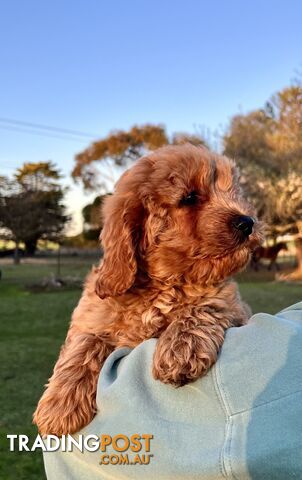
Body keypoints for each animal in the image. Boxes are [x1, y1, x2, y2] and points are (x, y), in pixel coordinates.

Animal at [33, 142, 262, 436]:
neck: (165, 283)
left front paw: (180, 348)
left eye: (232, 191)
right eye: (190, 197)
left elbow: (207, 304)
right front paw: (59, 405)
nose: (247, 222)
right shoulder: (93, 315)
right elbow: (84, 344)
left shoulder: (232, 304)